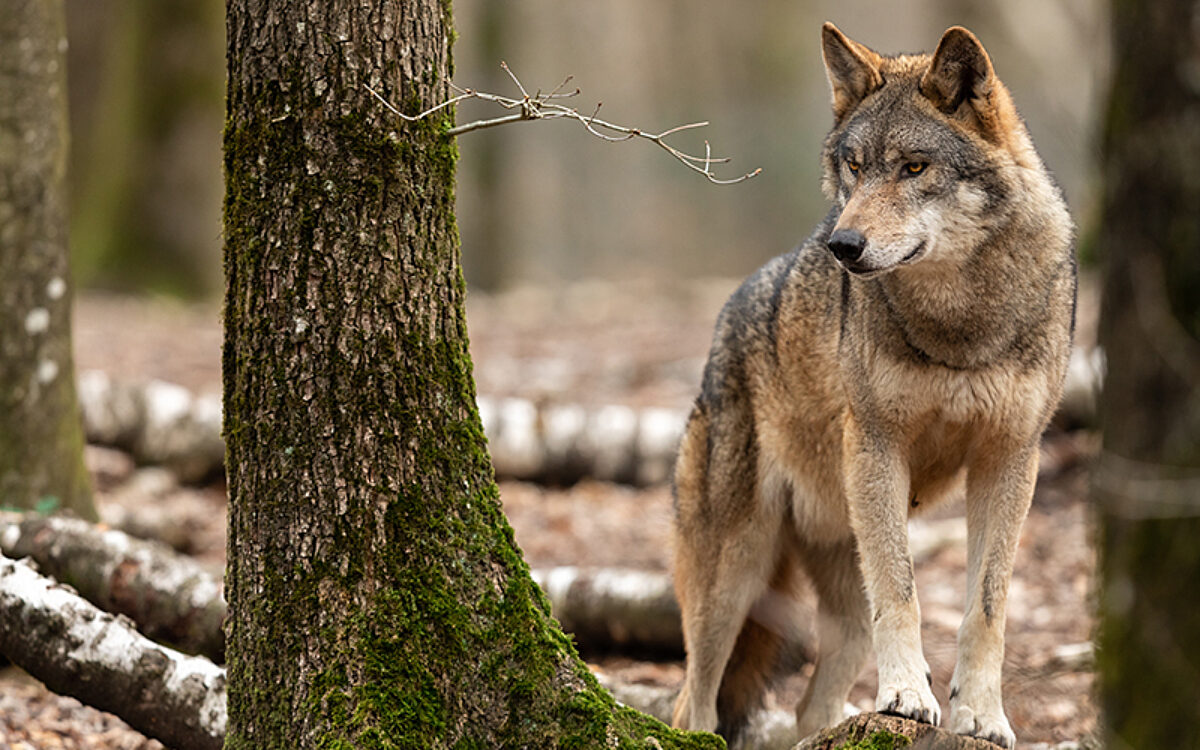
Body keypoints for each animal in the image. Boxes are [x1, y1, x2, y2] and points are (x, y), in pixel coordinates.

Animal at [670, 23, 1075, 749]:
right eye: (855, 168)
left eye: (913, 168)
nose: (843, 245)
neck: (960, 324)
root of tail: (729, 312)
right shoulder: (878, 446)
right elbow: (903, 593)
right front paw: (909, 697)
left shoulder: (1010, 458)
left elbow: (988, 606)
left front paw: (981, 715)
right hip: (732, 580)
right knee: (693, 705)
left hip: (834, 593)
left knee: (811, 711)